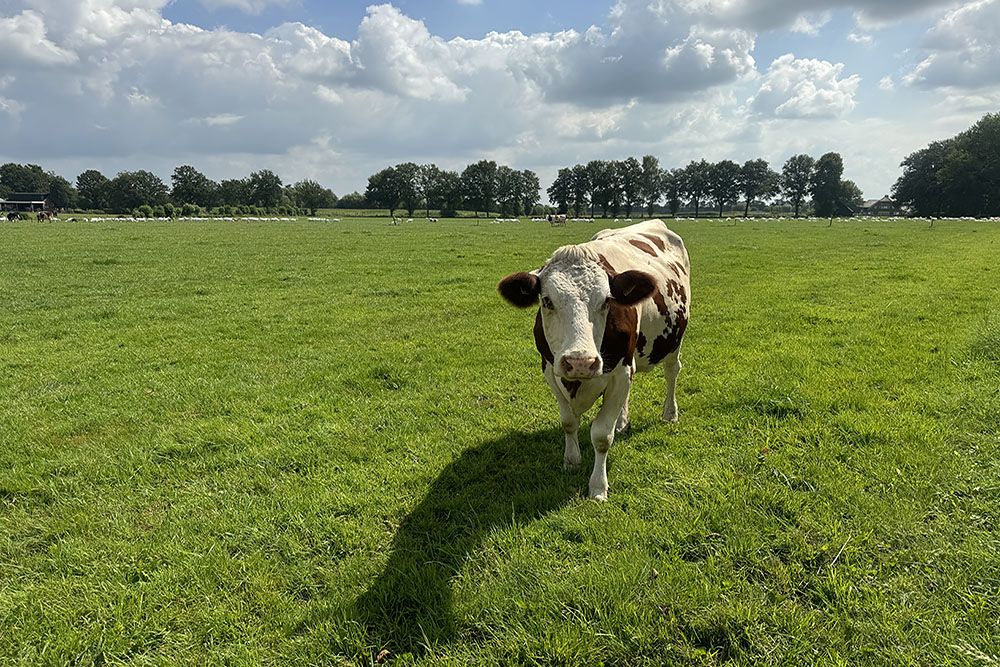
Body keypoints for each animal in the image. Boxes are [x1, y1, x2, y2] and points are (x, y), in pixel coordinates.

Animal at [498, 220, 692, 500]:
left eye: (607, 300)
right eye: (547, 300)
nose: (580, 361)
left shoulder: (620, 372)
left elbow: (601, 436)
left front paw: (598, 486)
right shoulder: (550, 370)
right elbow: (569, 422)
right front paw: (571, 460)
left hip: (675, 340)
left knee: (672, 372)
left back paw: (669, 414)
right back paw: (622, 422)